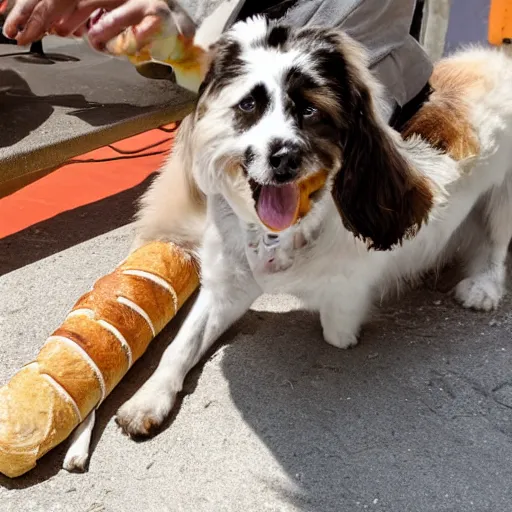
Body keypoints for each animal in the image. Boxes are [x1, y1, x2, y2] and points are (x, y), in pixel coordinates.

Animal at [64, 17, 512, 472]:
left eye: (312, 111)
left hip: (504, 200)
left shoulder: (346, 297)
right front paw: (149, 398)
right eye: (248, 105)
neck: (279, 234)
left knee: (496, 245)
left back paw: (483, 287)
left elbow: (337, 327)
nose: (284, 157)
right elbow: (181, 344)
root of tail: (492, 59)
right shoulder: (227, 285)